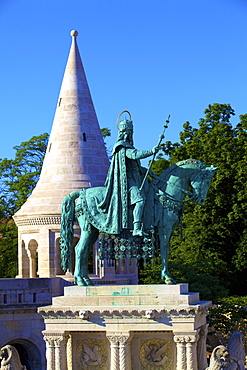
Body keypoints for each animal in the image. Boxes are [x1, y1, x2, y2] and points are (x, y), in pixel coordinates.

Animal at [59, 159, 216, 286]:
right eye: (206, 180)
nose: (201, 199)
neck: (166, 194)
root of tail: (81, 192)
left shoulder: (168, 230)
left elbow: (165, 250)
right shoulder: (164, 228)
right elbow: (165, 250)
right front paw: (167, 278)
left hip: (93, 231)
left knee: (83, 250)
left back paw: (86, 280)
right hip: (88, 229)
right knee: (79, 249)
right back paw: (80, 281)